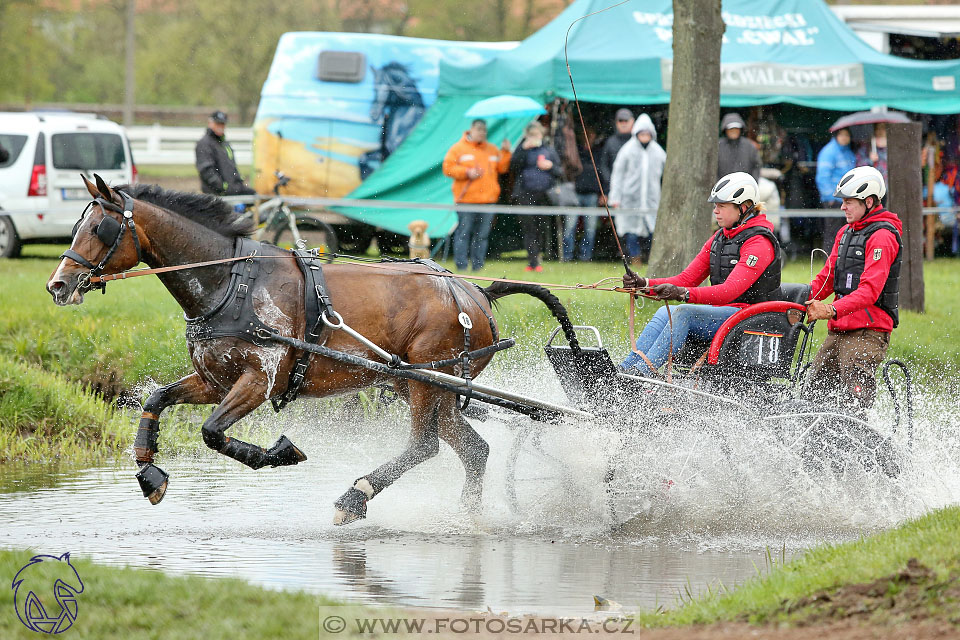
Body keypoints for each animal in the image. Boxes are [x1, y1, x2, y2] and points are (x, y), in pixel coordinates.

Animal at [47, 176, 576, 524]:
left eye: (99, 229)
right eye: (77, 225)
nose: (58, 284)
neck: (231, 282)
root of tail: (476, 294)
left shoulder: (258, 379)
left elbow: (213, 433)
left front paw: (279, 452)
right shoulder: (215, 379)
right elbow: (158, 399)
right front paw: (149, 472)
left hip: (428, 381)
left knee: (424, 446)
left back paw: (355, 496)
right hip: (424, 386)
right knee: (473, 449)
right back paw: (466, 515)